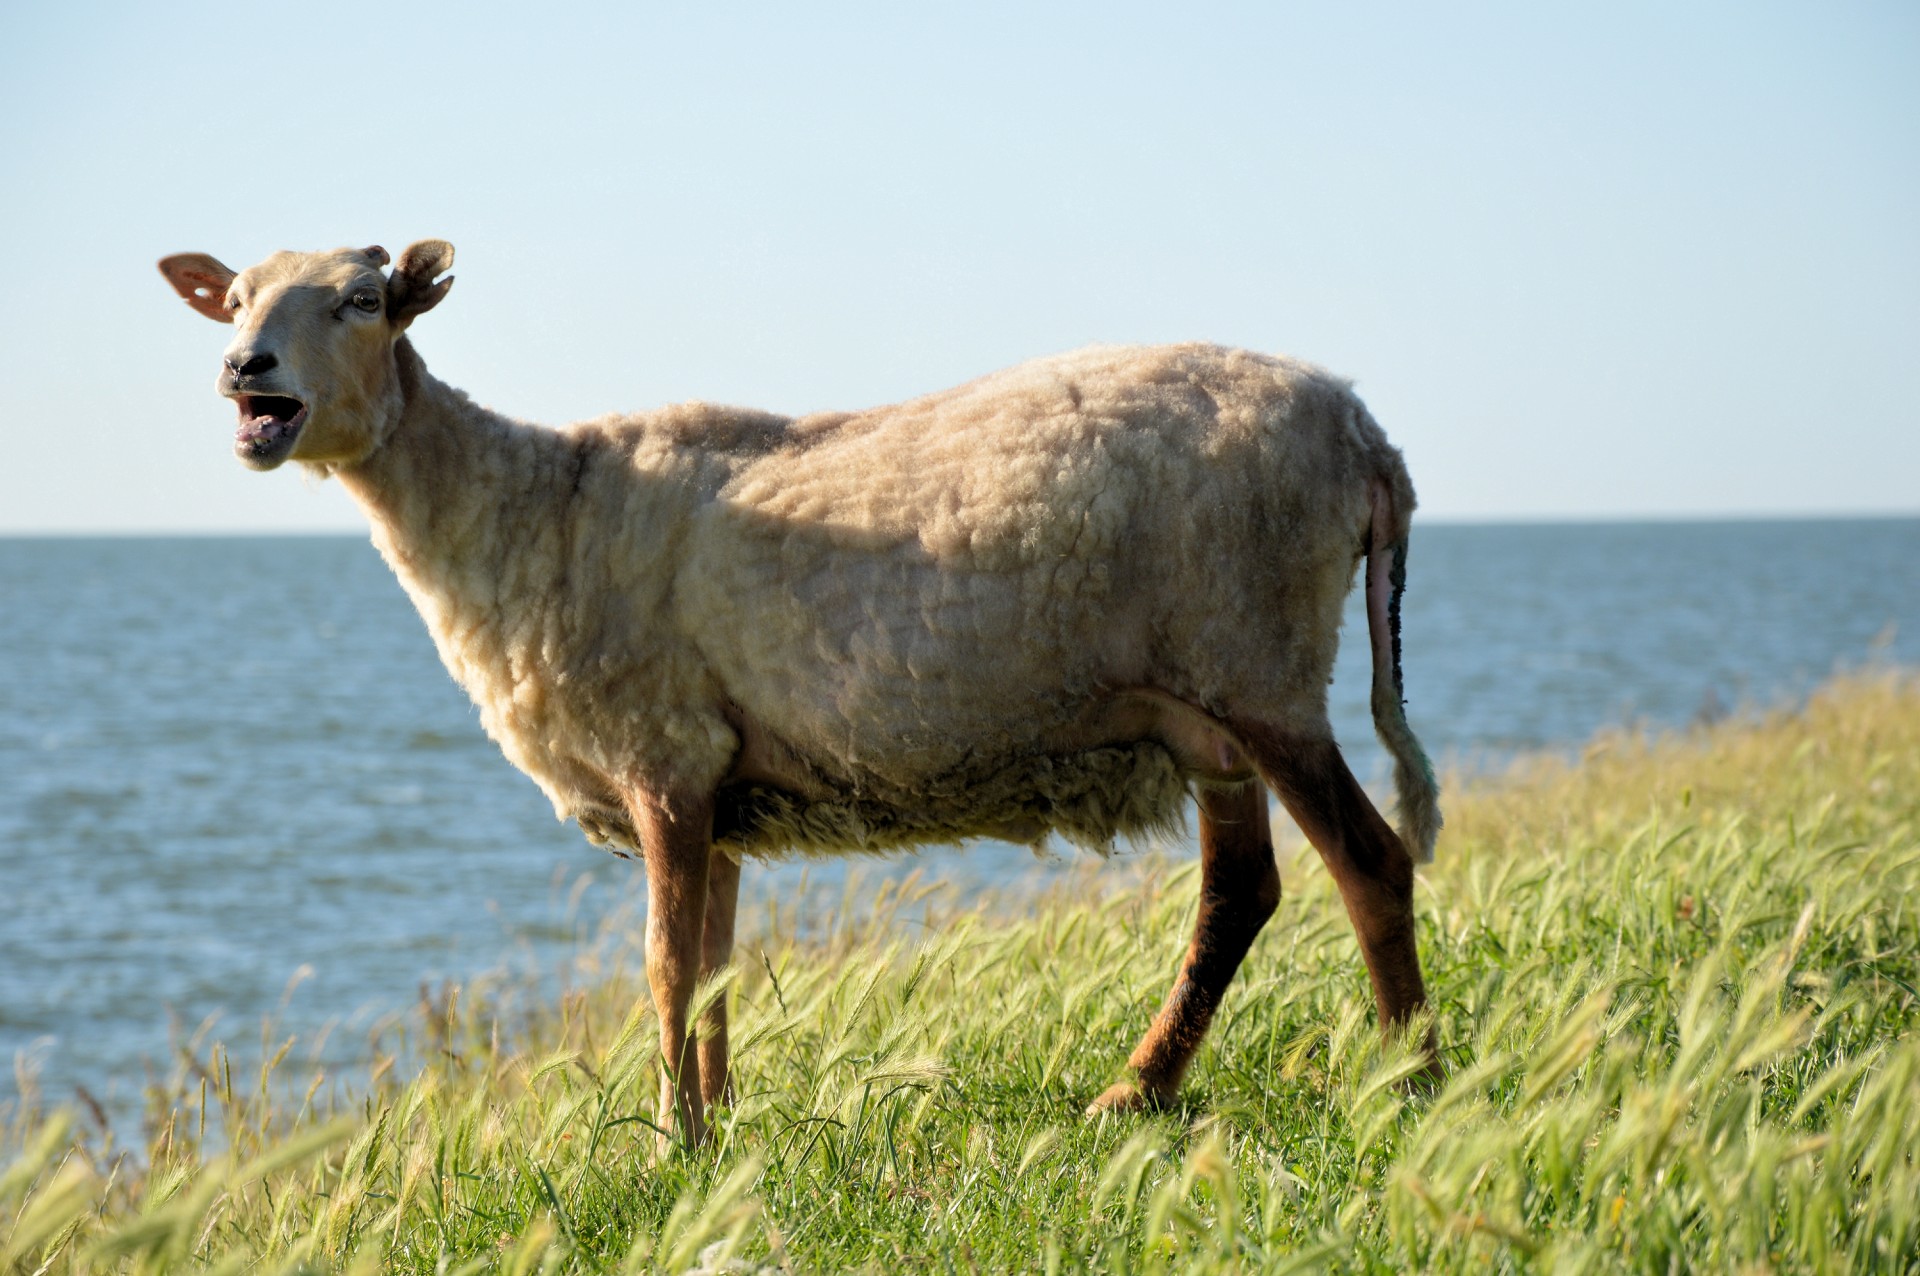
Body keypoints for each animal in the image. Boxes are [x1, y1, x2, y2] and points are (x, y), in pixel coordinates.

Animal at [157, 238, 1443, 1143]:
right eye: (236, 300)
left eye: (363, 300)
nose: (243, 369)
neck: (526, 505)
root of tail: (1367, 435)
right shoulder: (719, 790)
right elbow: (713, 967)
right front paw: (721, 1133)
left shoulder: (662, 757)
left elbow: (666, 966)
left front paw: (669, 1150)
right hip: (1208, 711)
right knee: (1241, 894)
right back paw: (1137, 1093)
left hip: (1262, 665)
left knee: (1370, 862)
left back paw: (1412, 1083)